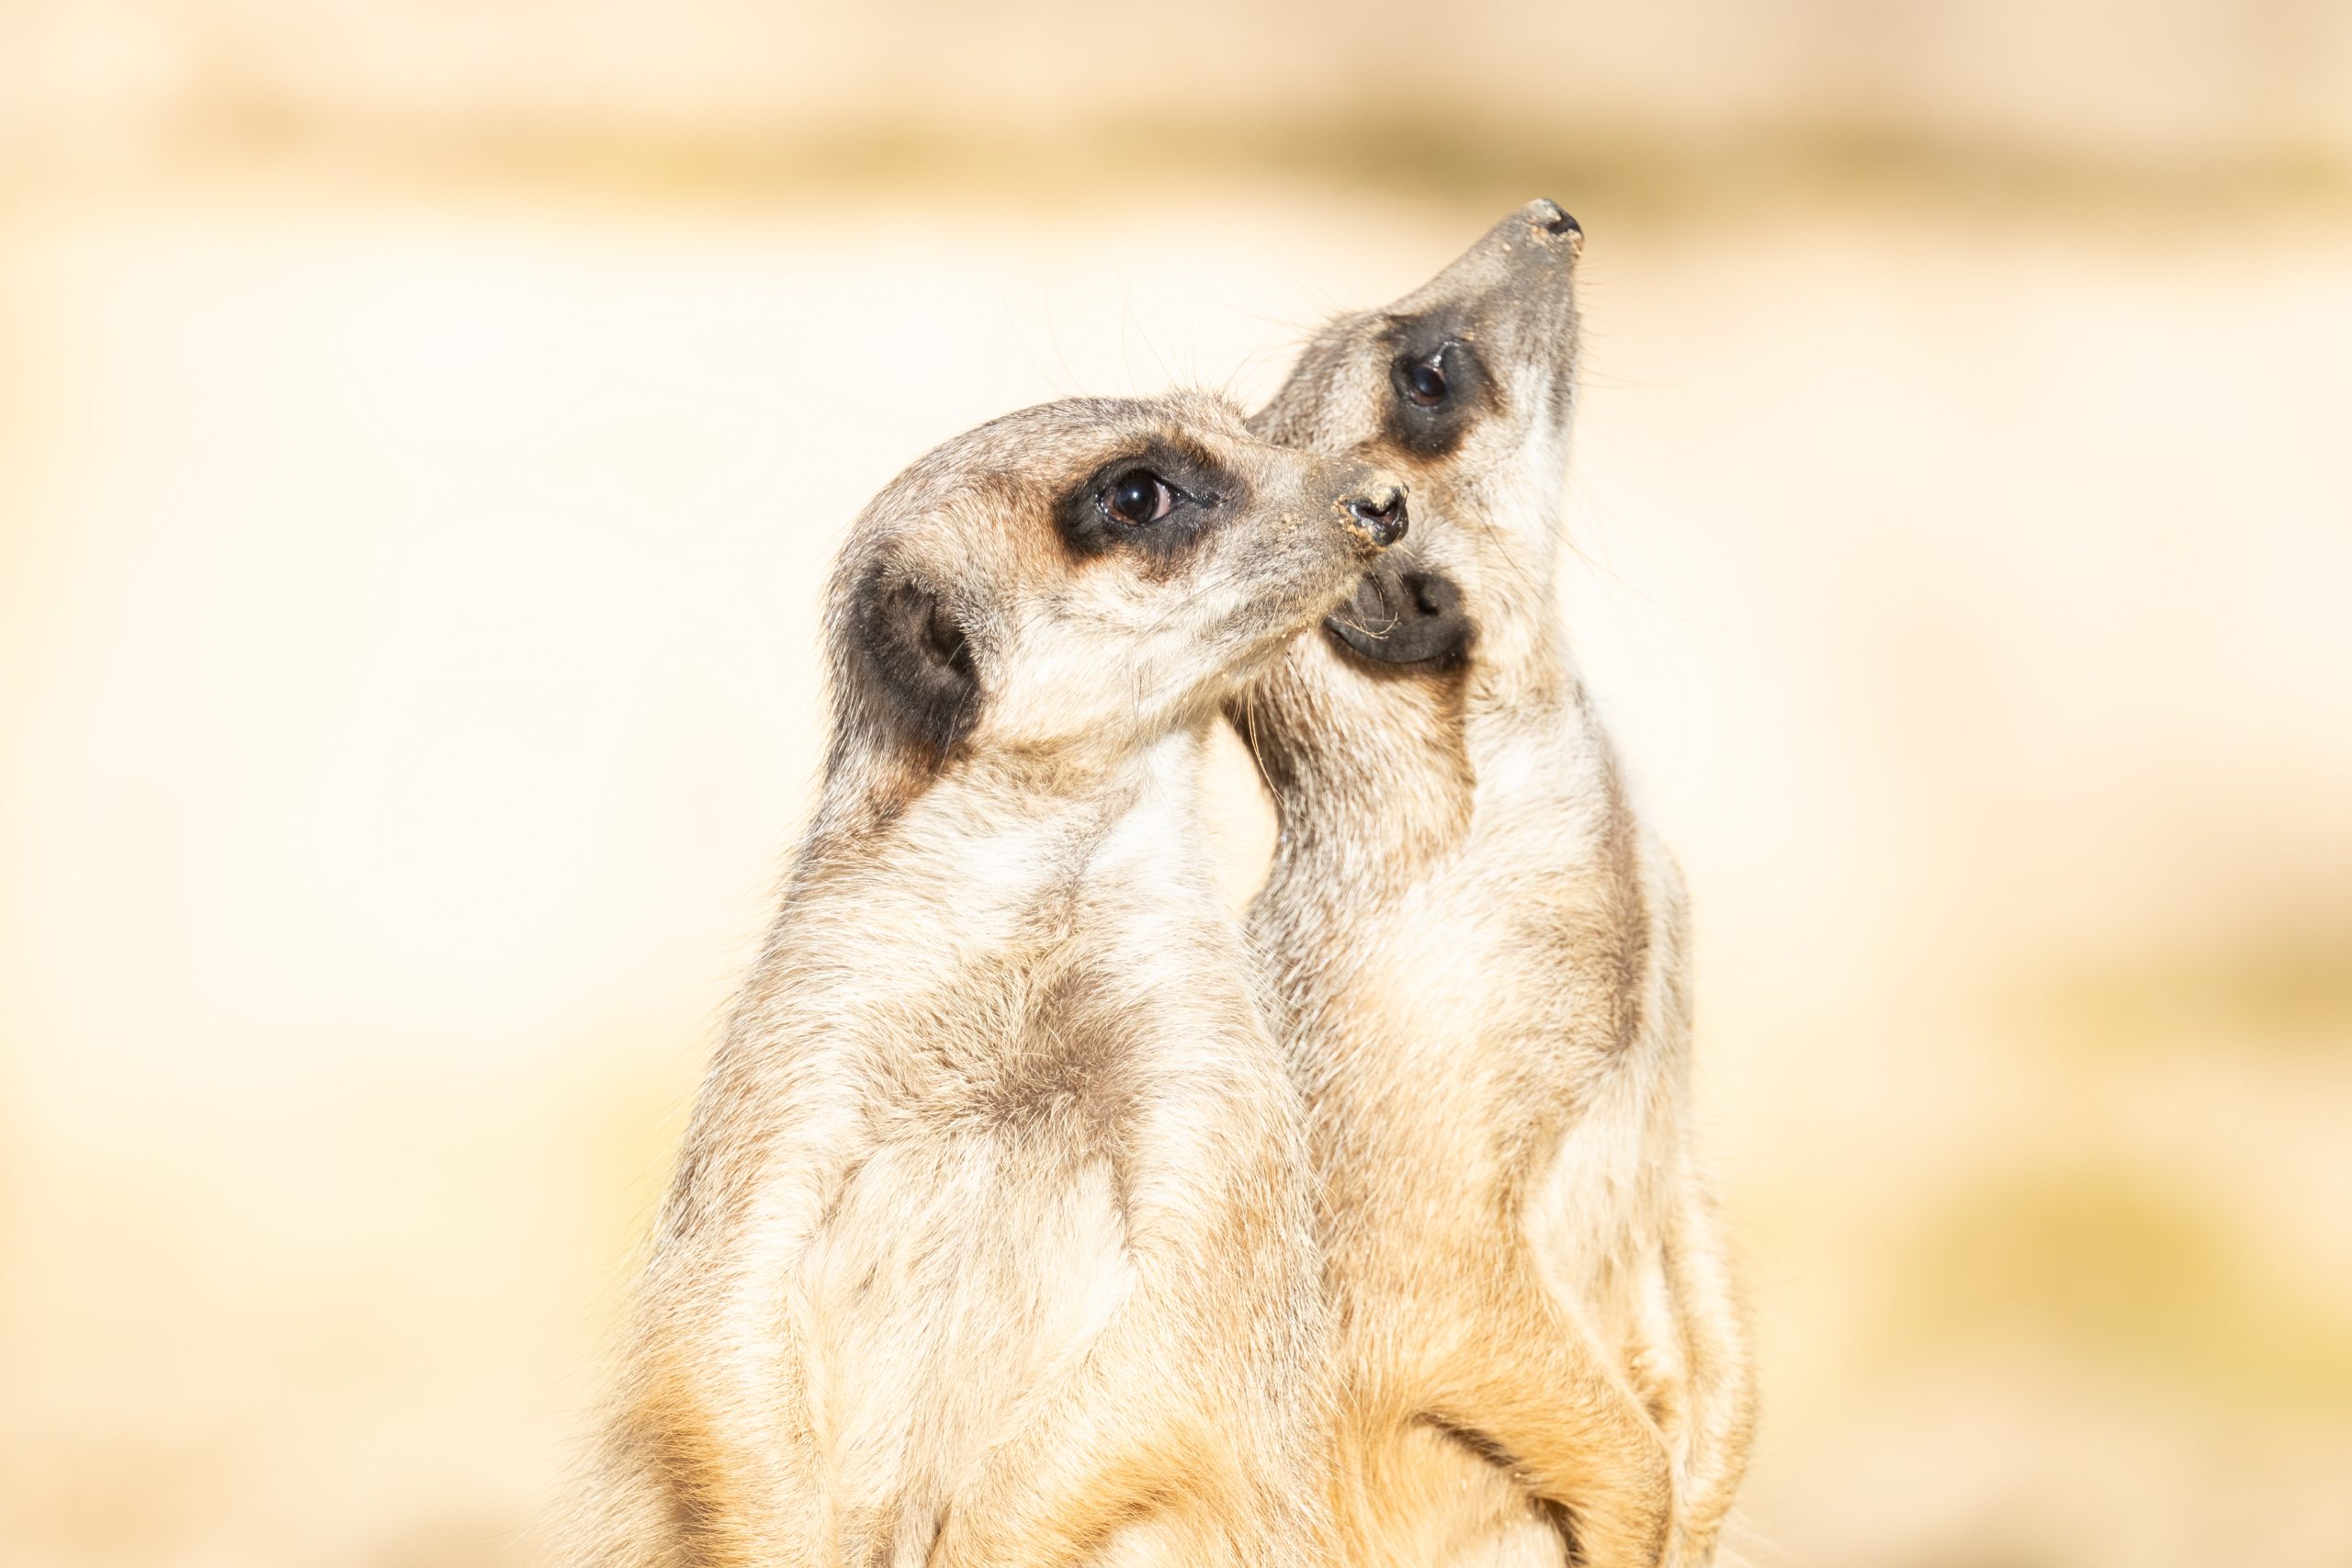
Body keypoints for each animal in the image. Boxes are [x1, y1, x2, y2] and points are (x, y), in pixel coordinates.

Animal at [574, 393, 1409, 1568]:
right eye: (1137, 492)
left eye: (1249, 423)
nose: (1381, 499)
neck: (1025, 907)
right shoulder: (811, 1012)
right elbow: (725, 1293)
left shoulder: (1203, 1061)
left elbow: (1176, 1326)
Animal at [1230, 202, 1755, 1568]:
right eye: (1427, 376)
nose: (1551, 216)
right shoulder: (1416, 1076)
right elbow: (1447, 1290)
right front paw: (1644, 1506)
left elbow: (1691, 1209)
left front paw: (1713, 1475)